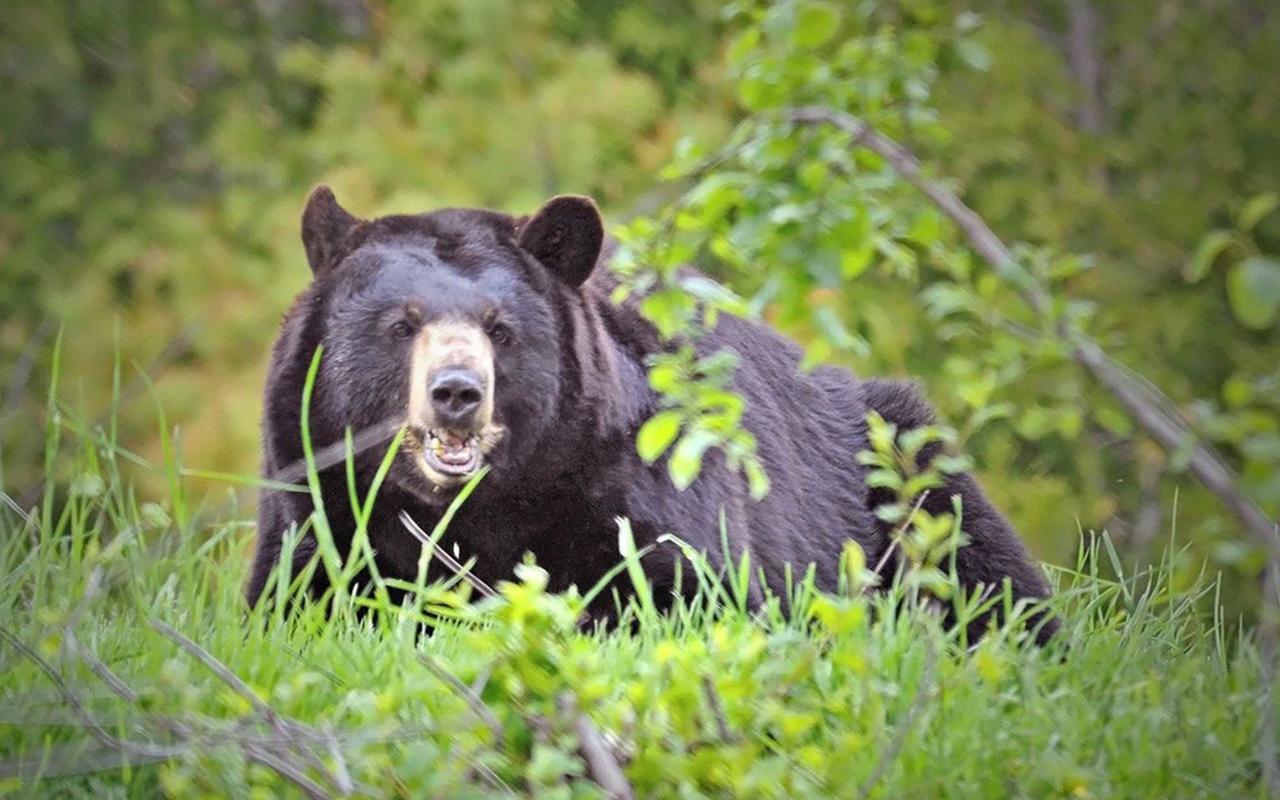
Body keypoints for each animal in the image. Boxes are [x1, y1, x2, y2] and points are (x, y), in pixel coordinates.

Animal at [244, 184, 1054, 640]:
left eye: (500, 329)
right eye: (402, 324)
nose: (457, 393)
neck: (486, 506)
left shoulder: (635, 484)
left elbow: (687, 595)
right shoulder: (321, 502)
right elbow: (299, 602)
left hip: (893, 458)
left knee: (981, 564)